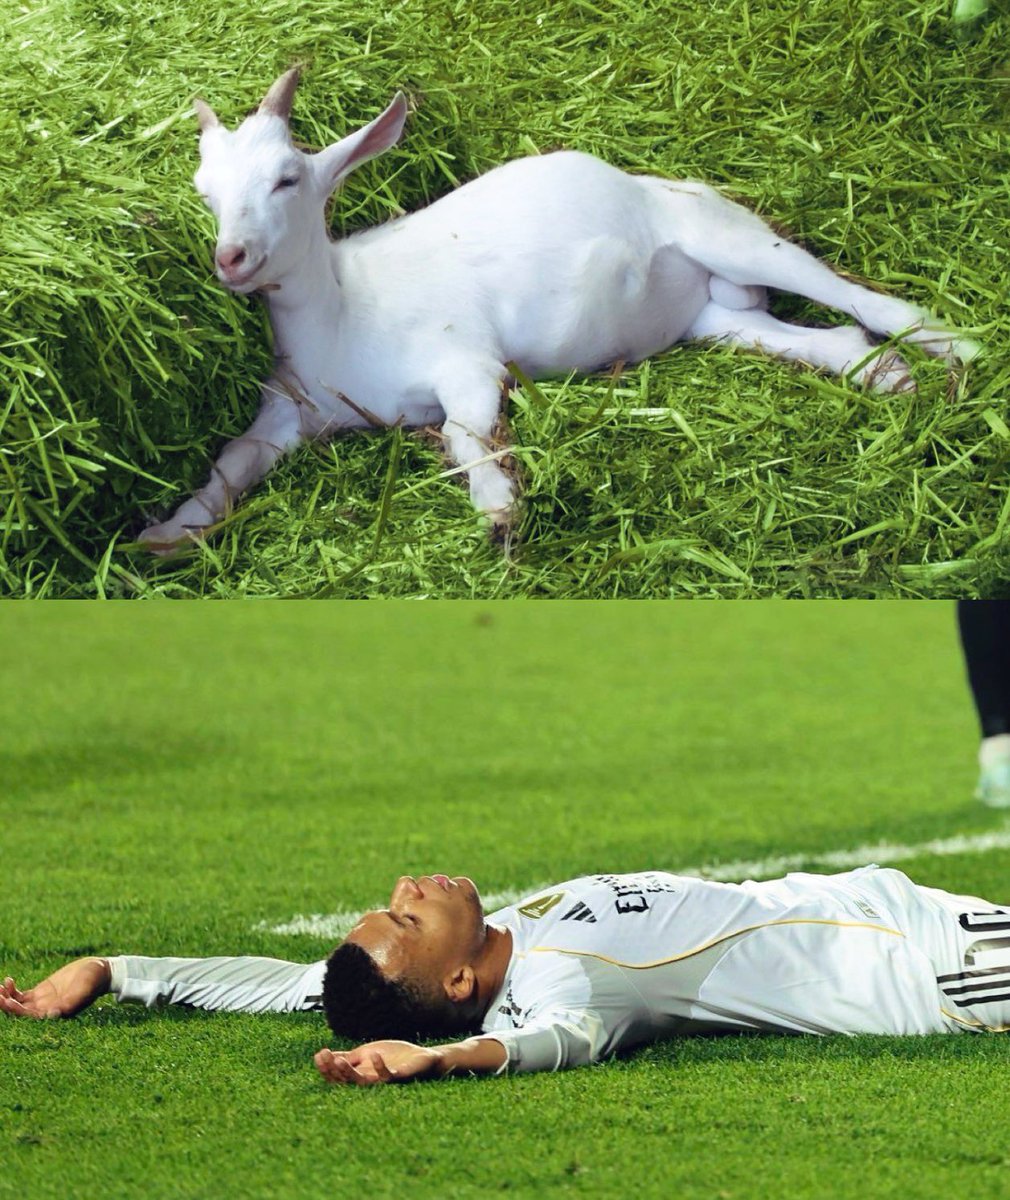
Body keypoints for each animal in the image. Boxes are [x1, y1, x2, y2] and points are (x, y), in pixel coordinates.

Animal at [138, 68, 978, 553]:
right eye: (205, 193)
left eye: (287, 179)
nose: (231, 259)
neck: (344, 314)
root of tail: (660, 184)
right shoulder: (291, 409)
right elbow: (233, 460)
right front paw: (166, 534)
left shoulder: (466, 360)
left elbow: (464, 431)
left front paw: (499, 508)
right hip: (708, 315)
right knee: (811, 335)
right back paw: (889, 377)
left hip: (732, 236)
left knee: (849, 293)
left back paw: (957, 346)